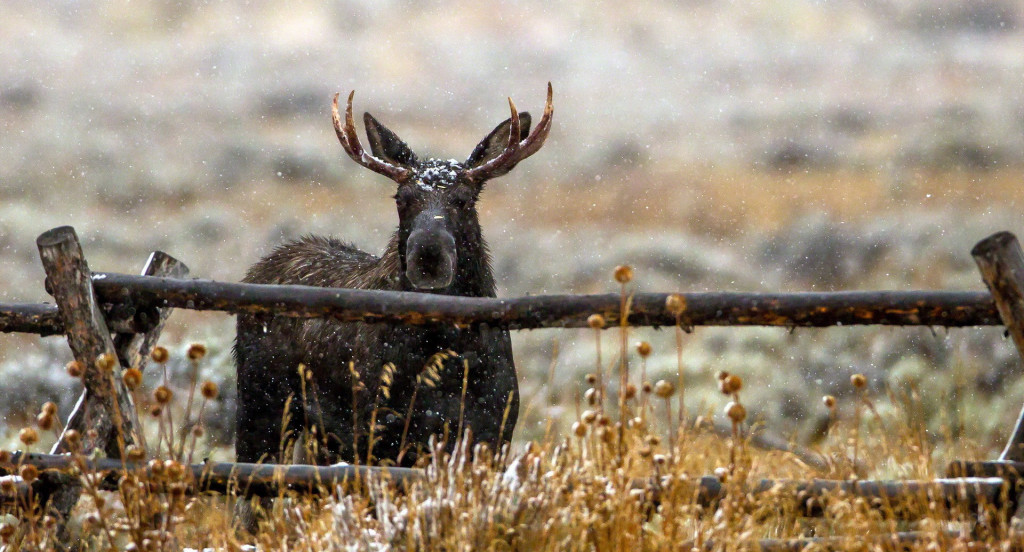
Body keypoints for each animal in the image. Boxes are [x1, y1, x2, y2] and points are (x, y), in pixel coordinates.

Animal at [234, 86, 552, 479]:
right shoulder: (375, 431)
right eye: (402, 199)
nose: (427, 256)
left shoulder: (492, 433)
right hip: (262, 405)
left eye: (463, 199)